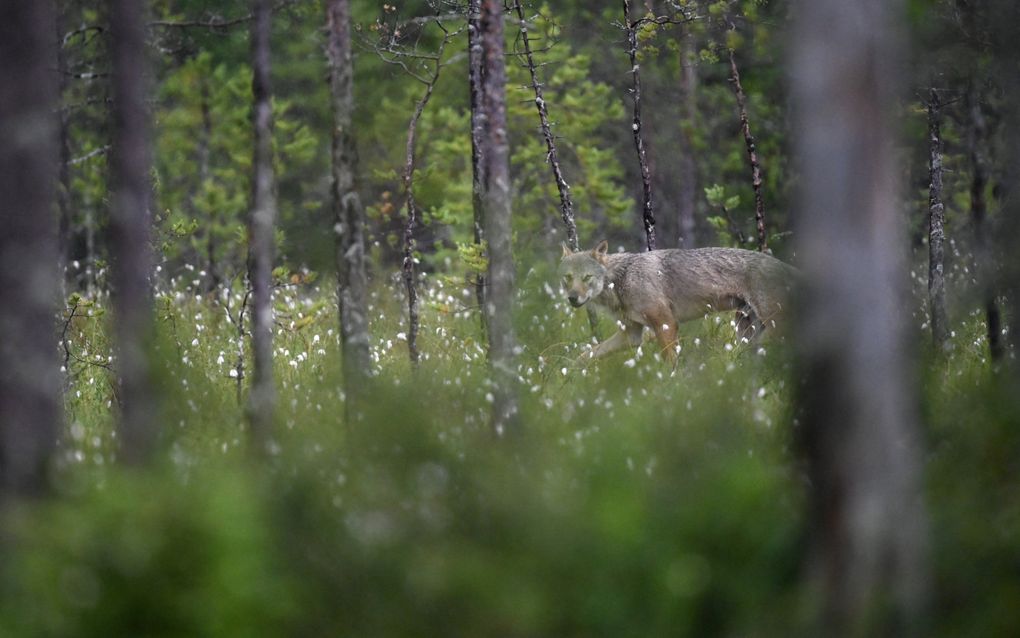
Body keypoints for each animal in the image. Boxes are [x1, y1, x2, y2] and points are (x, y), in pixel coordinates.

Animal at [558, 240, 795, 363]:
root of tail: (786, 266)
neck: (621, 279)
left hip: (773, 329)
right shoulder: (631, 335)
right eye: (568, 277)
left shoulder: (666, 323)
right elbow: (585, 355)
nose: (572, 298)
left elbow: (670, 362)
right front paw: (568, 374)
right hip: (746, 333)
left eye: (587, 278)